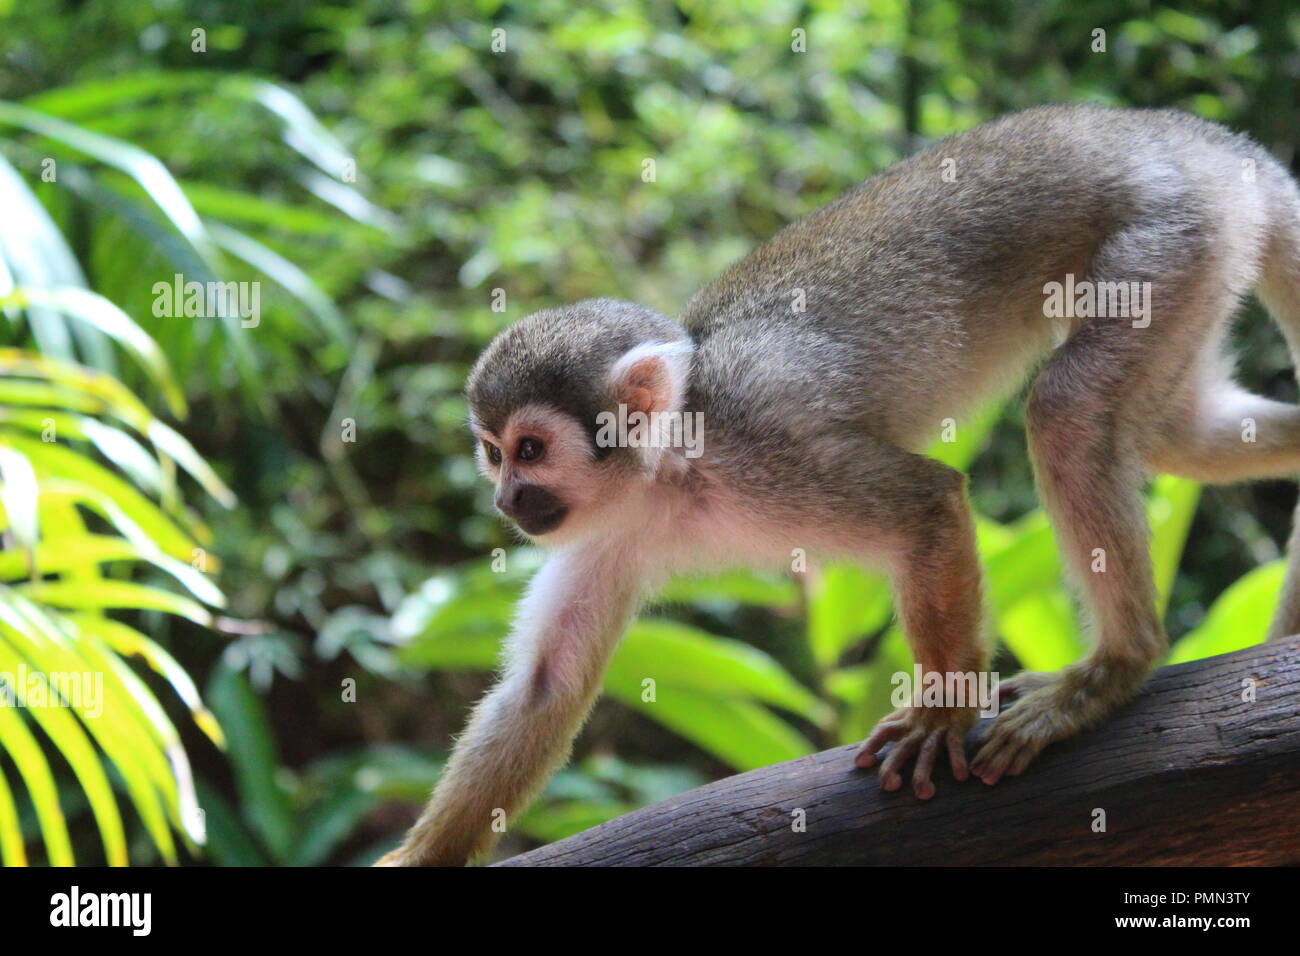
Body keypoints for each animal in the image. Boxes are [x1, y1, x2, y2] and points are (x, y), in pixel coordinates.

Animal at [379, 106, 1300, 868]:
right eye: (492, 453)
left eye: (531, 449)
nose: (506, 502)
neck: (669, 471)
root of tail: (1200, 140)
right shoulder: (609, 528)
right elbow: (546, 687)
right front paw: (417, 857)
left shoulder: (762, 454)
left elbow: (927, 503)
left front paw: (939, 714)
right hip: (1204, 258)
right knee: (1175, 437)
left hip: (1168, 236)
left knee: (1069, 414)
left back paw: (1115, 667)